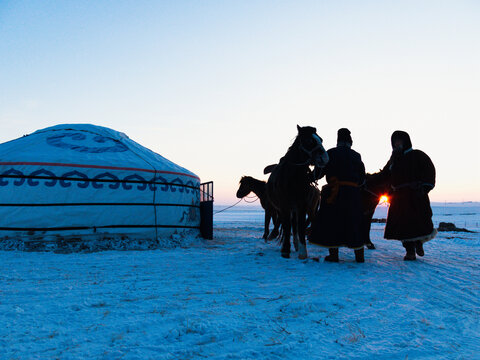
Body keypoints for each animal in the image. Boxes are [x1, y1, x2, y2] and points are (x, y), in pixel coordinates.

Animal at [266, 125, 330, 258]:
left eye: (321, 139)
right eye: (309, 140)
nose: (325, 158)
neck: (293, 177)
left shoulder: (302, 205)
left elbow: (299, 225)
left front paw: (302, 251)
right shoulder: (284, 206)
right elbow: (286, 225)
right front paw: (285, 249)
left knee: (294, 225)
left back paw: (295, 244)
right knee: (286, 223)